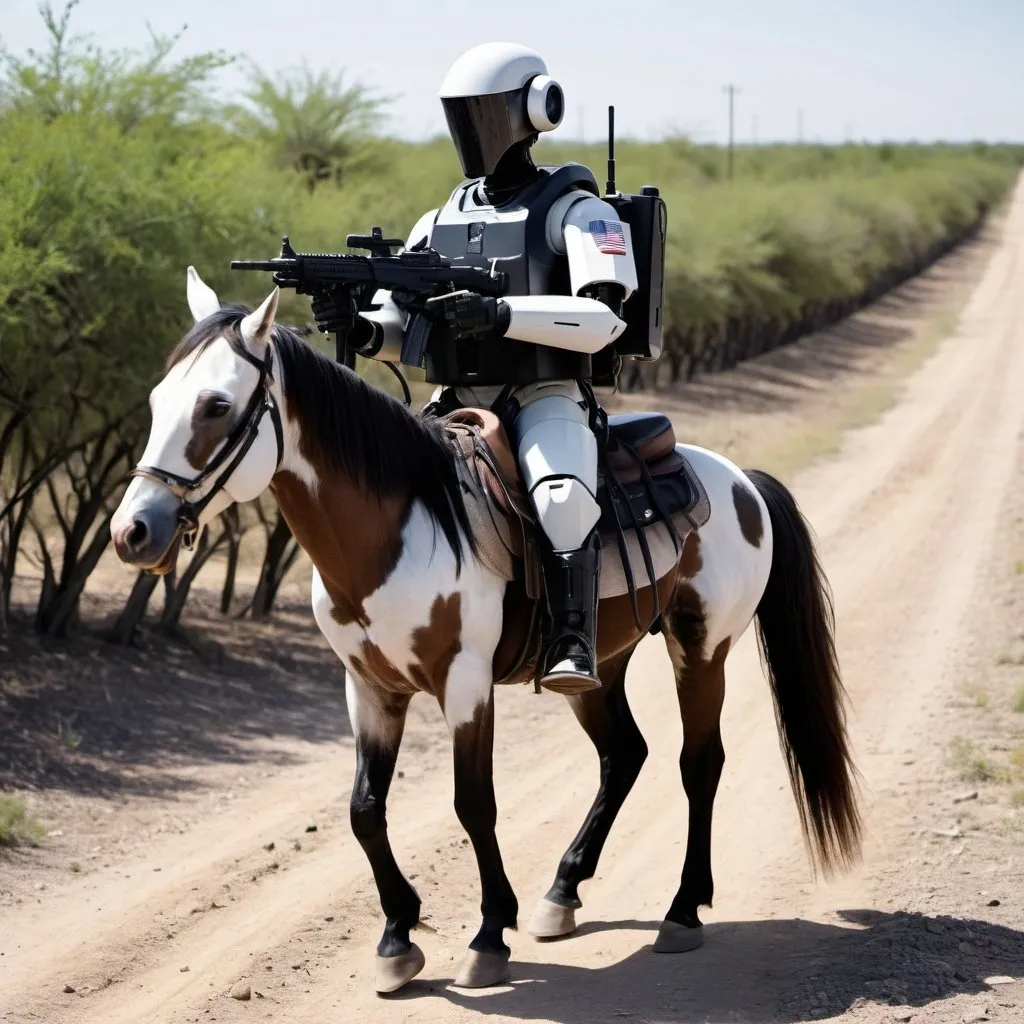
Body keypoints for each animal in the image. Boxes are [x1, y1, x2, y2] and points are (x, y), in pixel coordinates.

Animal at [112, 276, 864, 995]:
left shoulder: (465, 683)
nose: (132, 531)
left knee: (698, 763)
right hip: (597, 668)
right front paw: (397, 939)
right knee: (624, 754)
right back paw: (562, 891)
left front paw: (488, 936)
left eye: (214, 405)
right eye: (155, 400)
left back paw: (681, 911)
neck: (396, 526)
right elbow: (364, 810)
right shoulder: (369, 689)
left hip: (701, 650)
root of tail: (739, 480)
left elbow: (473, 804)